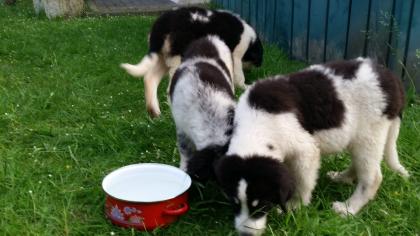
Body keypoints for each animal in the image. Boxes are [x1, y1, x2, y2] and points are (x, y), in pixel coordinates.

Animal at [120, 6, 260, 118]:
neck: (250, 40)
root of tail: (161, 24)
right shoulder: (235, 56)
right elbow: (238, 76)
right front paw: (245, 86)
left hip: (162, 58)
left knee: (150, 78)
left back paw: (154, 112)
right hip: (177, 58)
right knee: (169, 87)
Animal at [215, 57, 408, 236]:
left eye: (262, 204)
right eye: (234, 203)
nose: (245, 234)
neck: (256, 127)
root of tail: (393, 79)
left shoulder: (305, 151)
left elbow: (302, 181)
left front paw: (294, 206)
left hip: (370, 135)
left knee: (372, 178)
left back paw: (348, 209)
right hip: (358, 139)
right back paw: (341, 177)